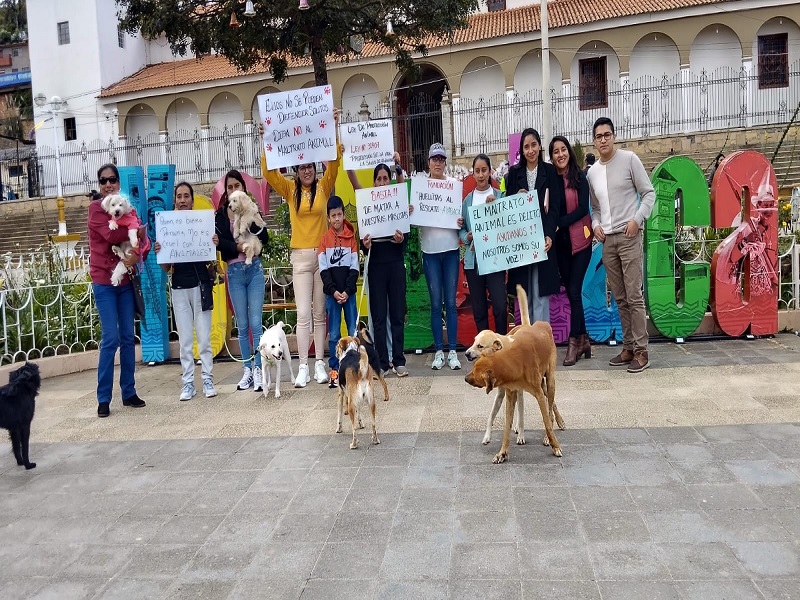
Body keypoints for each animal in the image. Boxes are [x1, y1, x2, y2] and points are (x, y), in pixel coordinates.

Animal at [466, 322, 560, 462]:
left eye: (480, 346)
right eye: (473, 341)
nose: (466, 354)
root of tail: (541, 323)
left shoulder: (537, 395)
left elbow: (546, 421)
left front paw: (555, 446)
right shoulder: (508, 394)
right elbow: (503, 423)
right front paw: (501, 452)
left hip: (549, 382)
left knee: (549, 408)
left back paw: (549, 433)